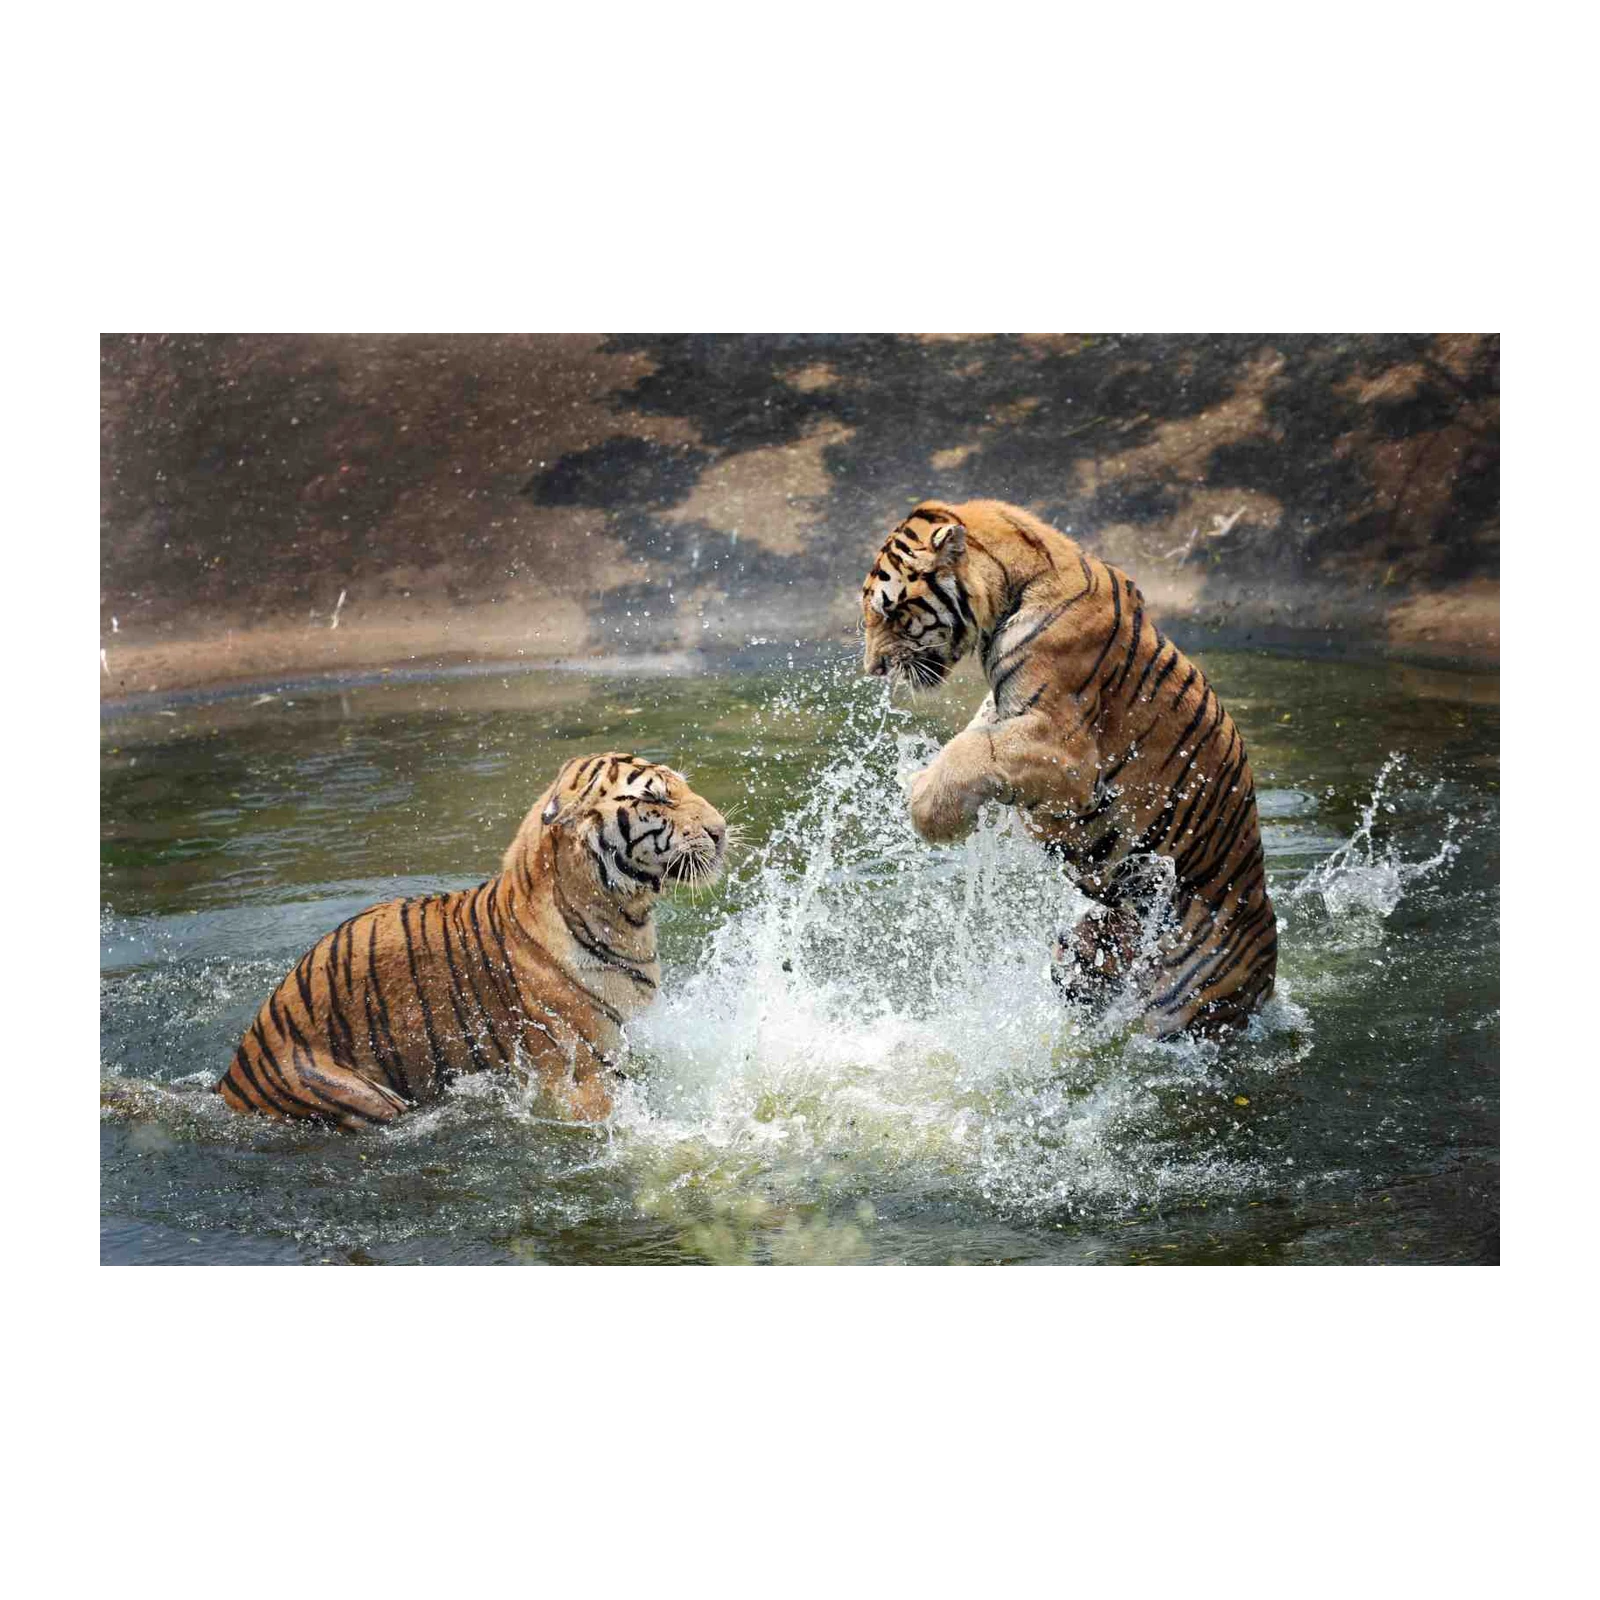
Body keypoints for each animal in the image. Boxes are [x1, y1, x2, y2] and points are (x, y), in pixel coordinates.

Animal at [214, 753, 728, 1130]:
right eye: (657, 800)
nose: (721, 831)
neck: (625, 919)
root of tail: (231, 1076)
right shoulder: (583, 1077)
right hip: (357, 1094)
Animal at [861, 498, 1277, 1038]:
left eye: (890, 611)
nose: (873, 669)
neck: (1012, 587)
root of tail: (1268, 974)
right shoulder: (1007, 711)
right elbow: (973, 734)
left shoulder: (1067, 751)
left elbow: (975, 749)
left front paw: (931, 810)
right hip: (1090, 950)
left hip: (1185, 1005)